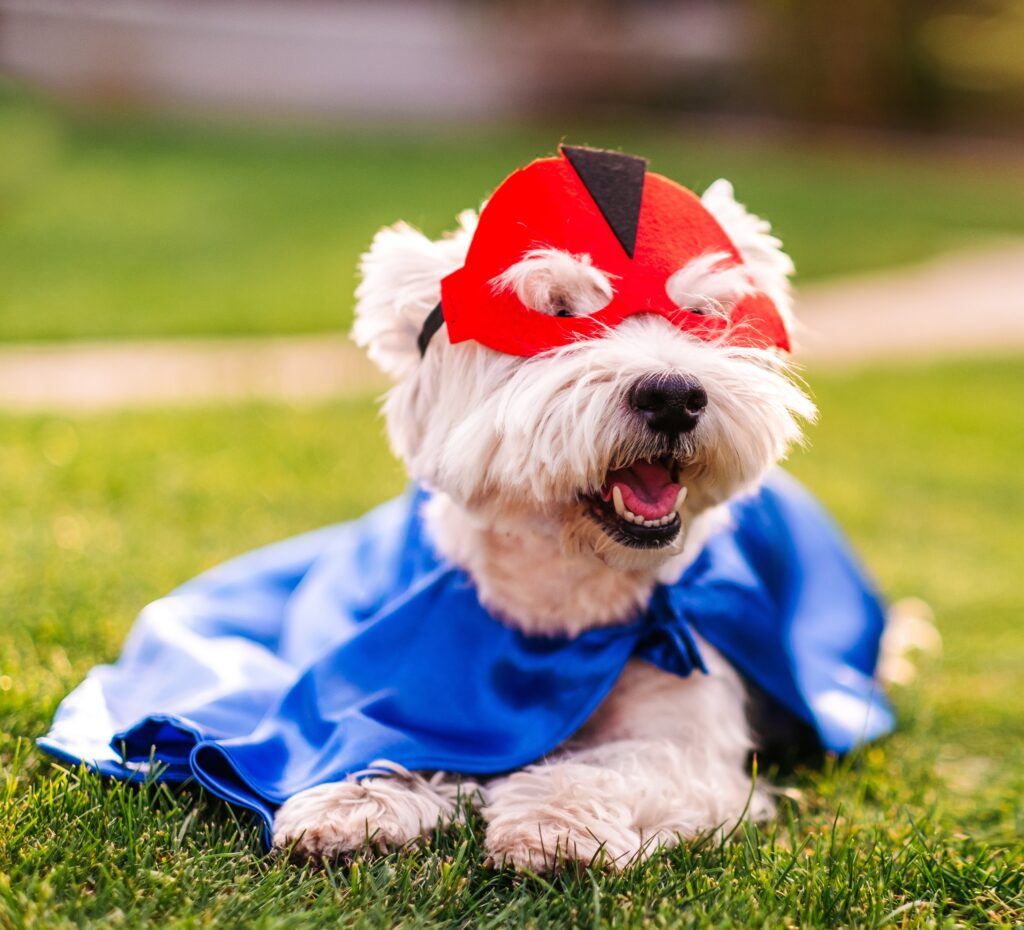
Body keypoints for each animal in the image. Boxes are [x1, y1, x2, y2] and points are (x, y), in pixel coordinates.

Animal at [270, 147, 823, 872]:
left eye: (701, 313)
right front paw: (351, 804)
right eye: (556, 314)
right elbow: (399, 742)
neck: (569, 603)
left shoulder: (691, 737)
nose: (675, 396)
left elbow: (602, 765)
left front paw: (550, 827)